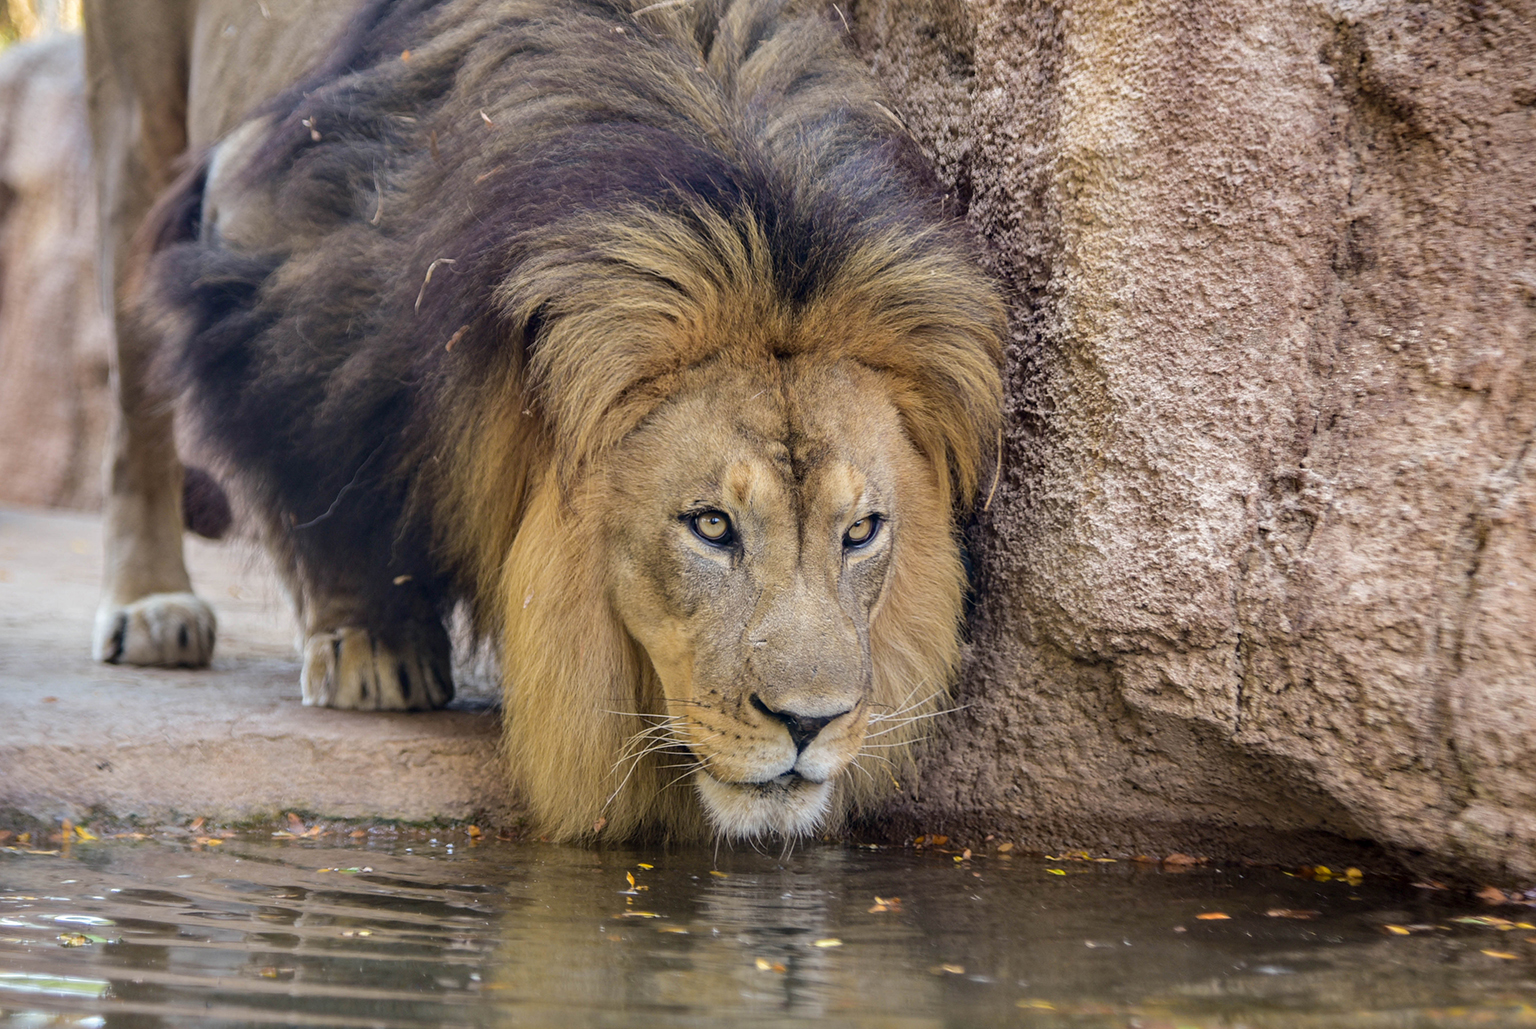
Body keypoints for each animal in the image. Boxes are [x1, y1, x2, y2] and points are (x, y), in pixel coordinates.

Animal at [89, 0, 1004, 841]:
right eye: (711, 525)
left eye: (862, 532)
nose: (811, 722)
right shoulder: (272, 258)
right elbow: (314, 462)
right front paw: (370, 645)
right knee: (132, 383)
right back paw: (153, 605)